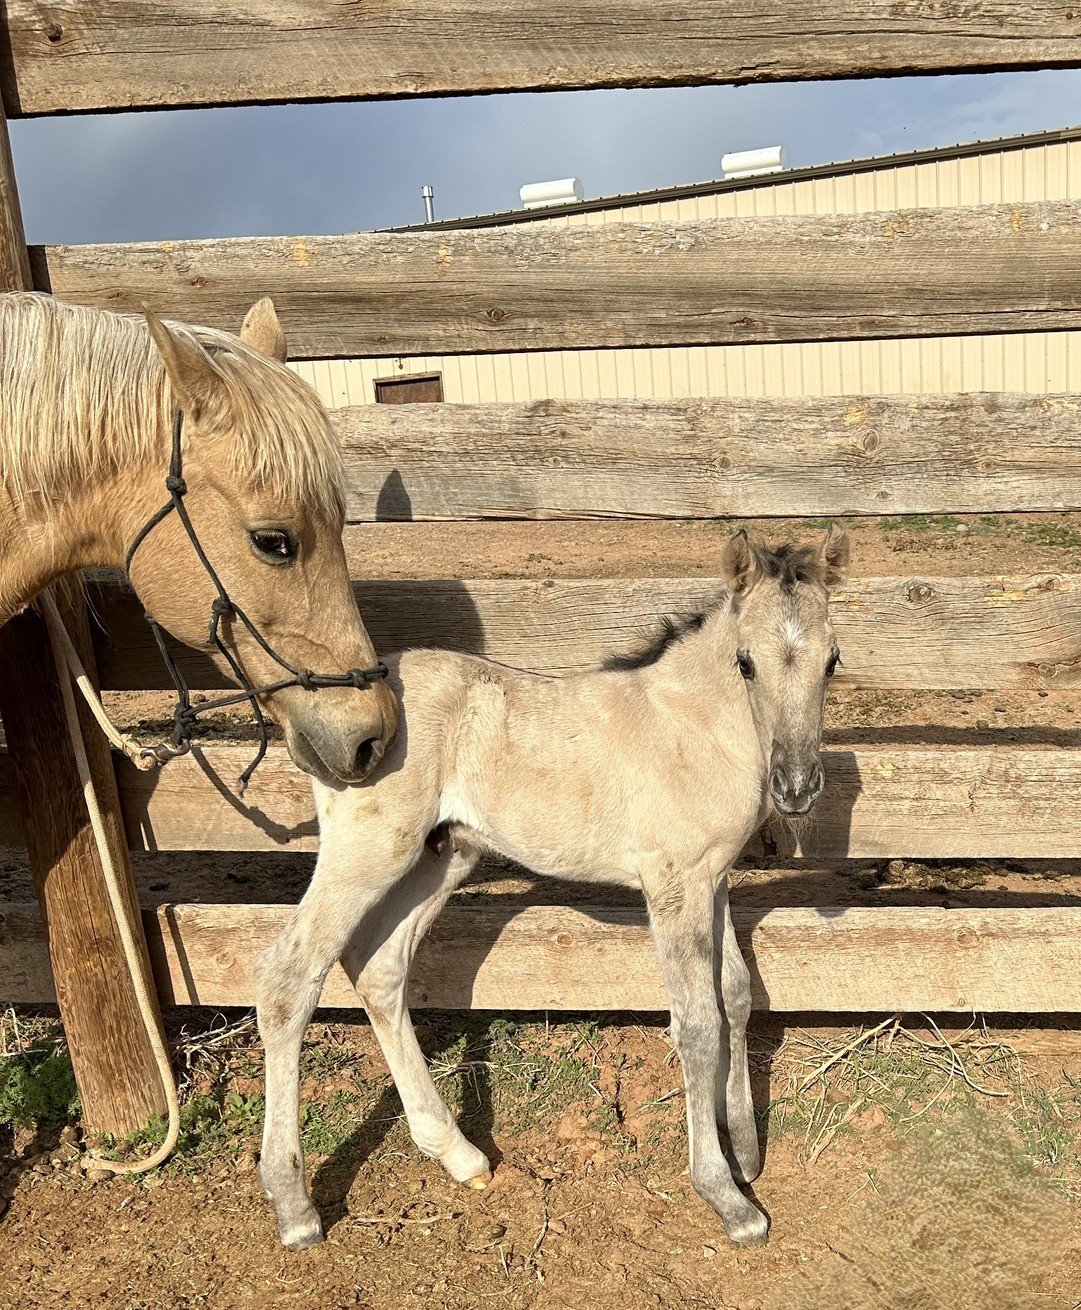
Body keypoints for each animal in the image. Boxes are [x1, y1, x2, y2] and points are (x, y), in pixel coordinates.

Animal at [255, 525, 850, 1250]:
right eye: (745, 664)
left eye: (831, 660)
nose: (796, 787)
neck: (692, 728)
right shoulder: (673, 884)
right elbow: (697, 1023)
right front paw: (726, 1195)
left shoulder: (714, 879)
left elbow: (735, 995)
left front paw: (744, 1148)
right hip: (366, 852)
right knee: (288, 978)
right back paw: (294, 1208)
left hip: (442, 856)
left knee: (380, 970)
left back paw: (459, 1155)